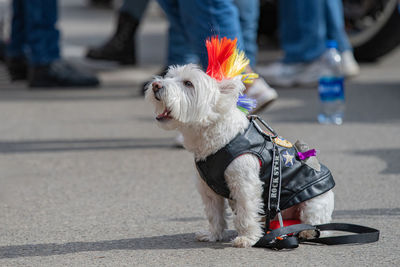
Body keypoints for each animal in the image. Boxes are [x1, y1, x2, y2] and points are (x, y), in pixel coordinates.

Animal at [145, 64, 332, 249]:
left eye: (188, 83)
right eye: (169, 76)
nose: (156, 85)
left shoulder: (244, 183)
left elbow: (246, 211)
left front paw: (247, 238)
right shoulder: (208, 188)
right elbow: (214, 214)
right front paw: (213, 235)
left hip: (314, 201)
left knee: (319, 222)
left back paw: (307, 231)